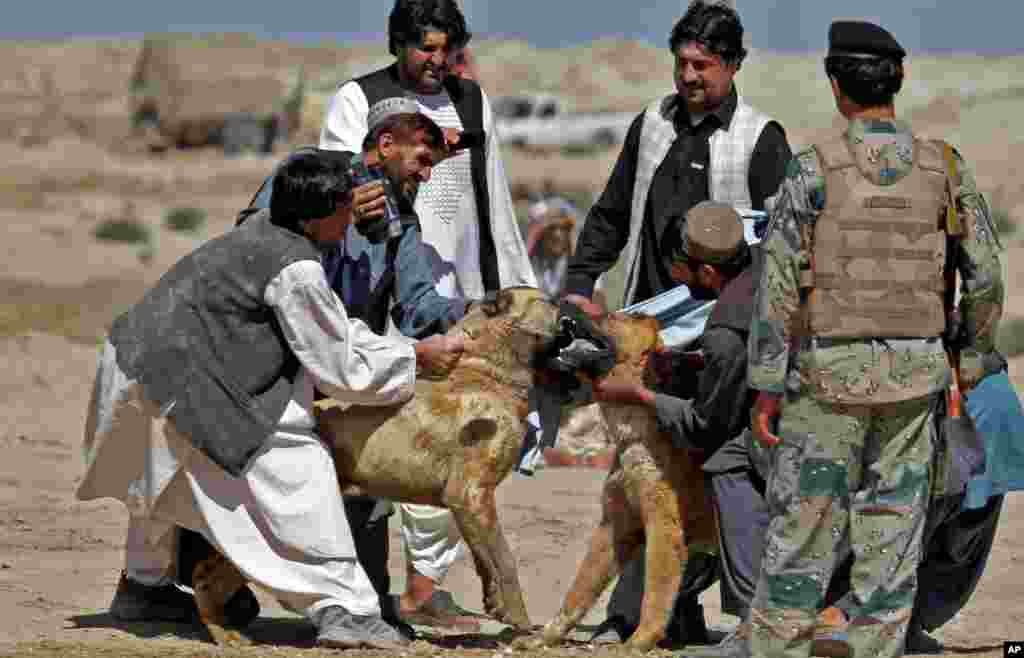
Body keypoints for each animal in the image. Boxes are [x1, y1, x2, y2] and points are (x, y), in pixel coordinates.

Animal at [528, 313, 720, 654]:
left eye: (611, 317)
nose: (566, 313)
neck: (635, 432)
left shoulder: (663, 528)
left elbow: (655, 595)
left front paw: (640, 641)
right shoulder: (615, 526)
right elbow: (578, 590)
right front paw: (548, 635)